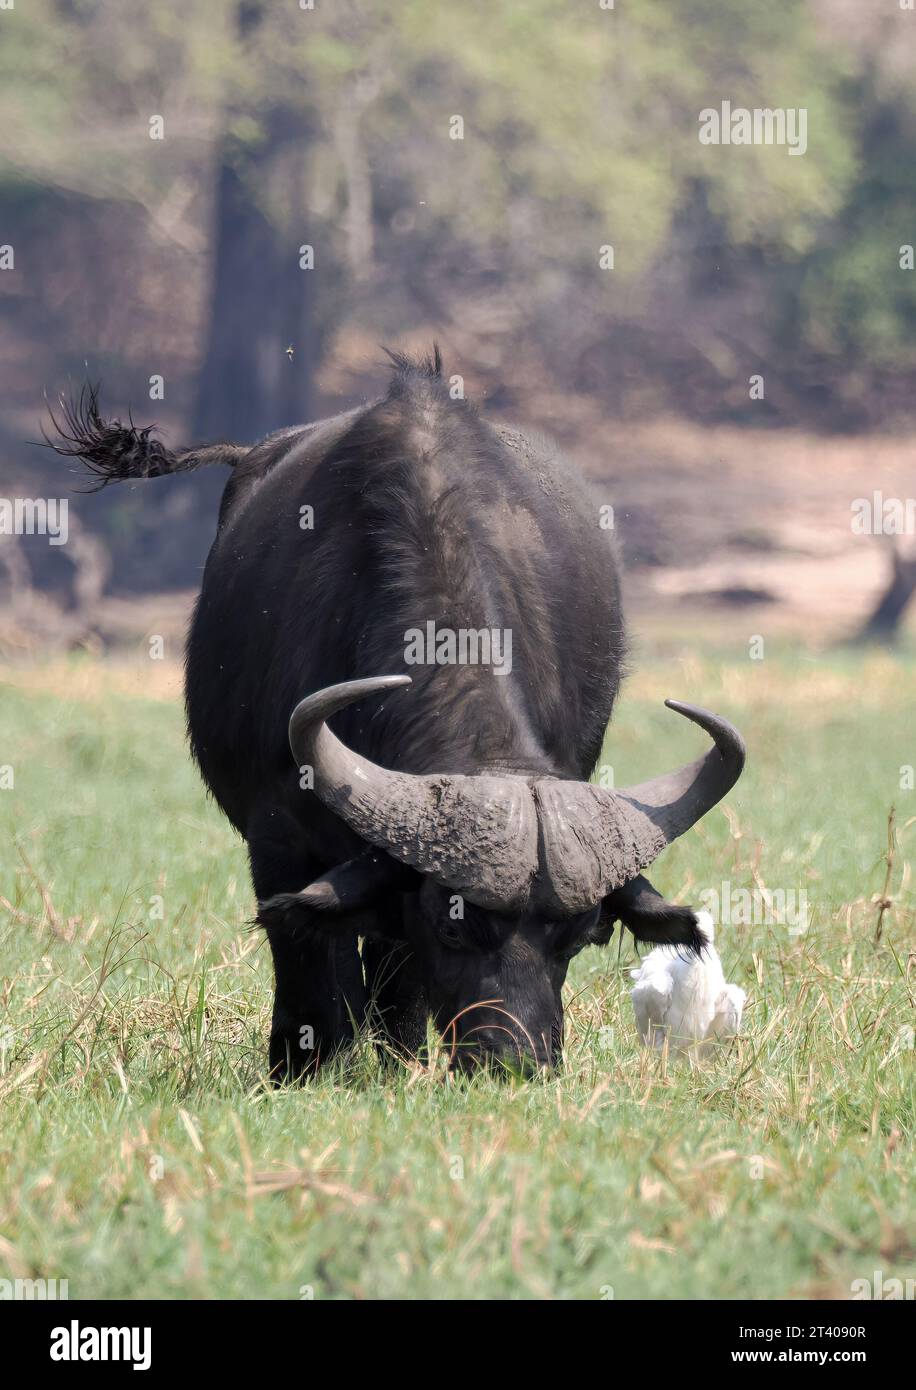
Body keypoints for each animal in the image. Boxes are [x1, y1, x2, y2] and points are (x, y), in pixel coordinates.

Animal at [48, 353, 745, 1078]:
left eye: (583, 936)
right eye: (454, 924)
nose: (517, 1063)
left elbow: (397, 974)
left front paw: (394, 1061)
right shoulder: (279, 841)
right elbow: (308, 964)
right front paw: (302, 1068)